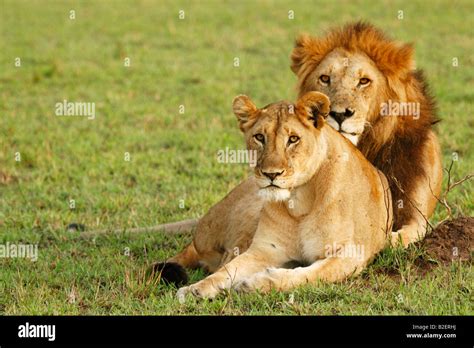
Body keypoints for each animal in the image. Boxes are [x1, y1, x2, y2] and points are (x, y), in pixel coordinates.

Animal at [176, 93, 390, 300]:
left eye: (293, 139)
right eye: (259, 137)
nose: (271, 174)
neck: (300, 202)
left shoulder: (350, 254)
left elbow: (311, 274)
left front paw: (256, 284)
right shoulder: (265, 250)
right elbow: (227, 271)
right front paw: (195, 289)